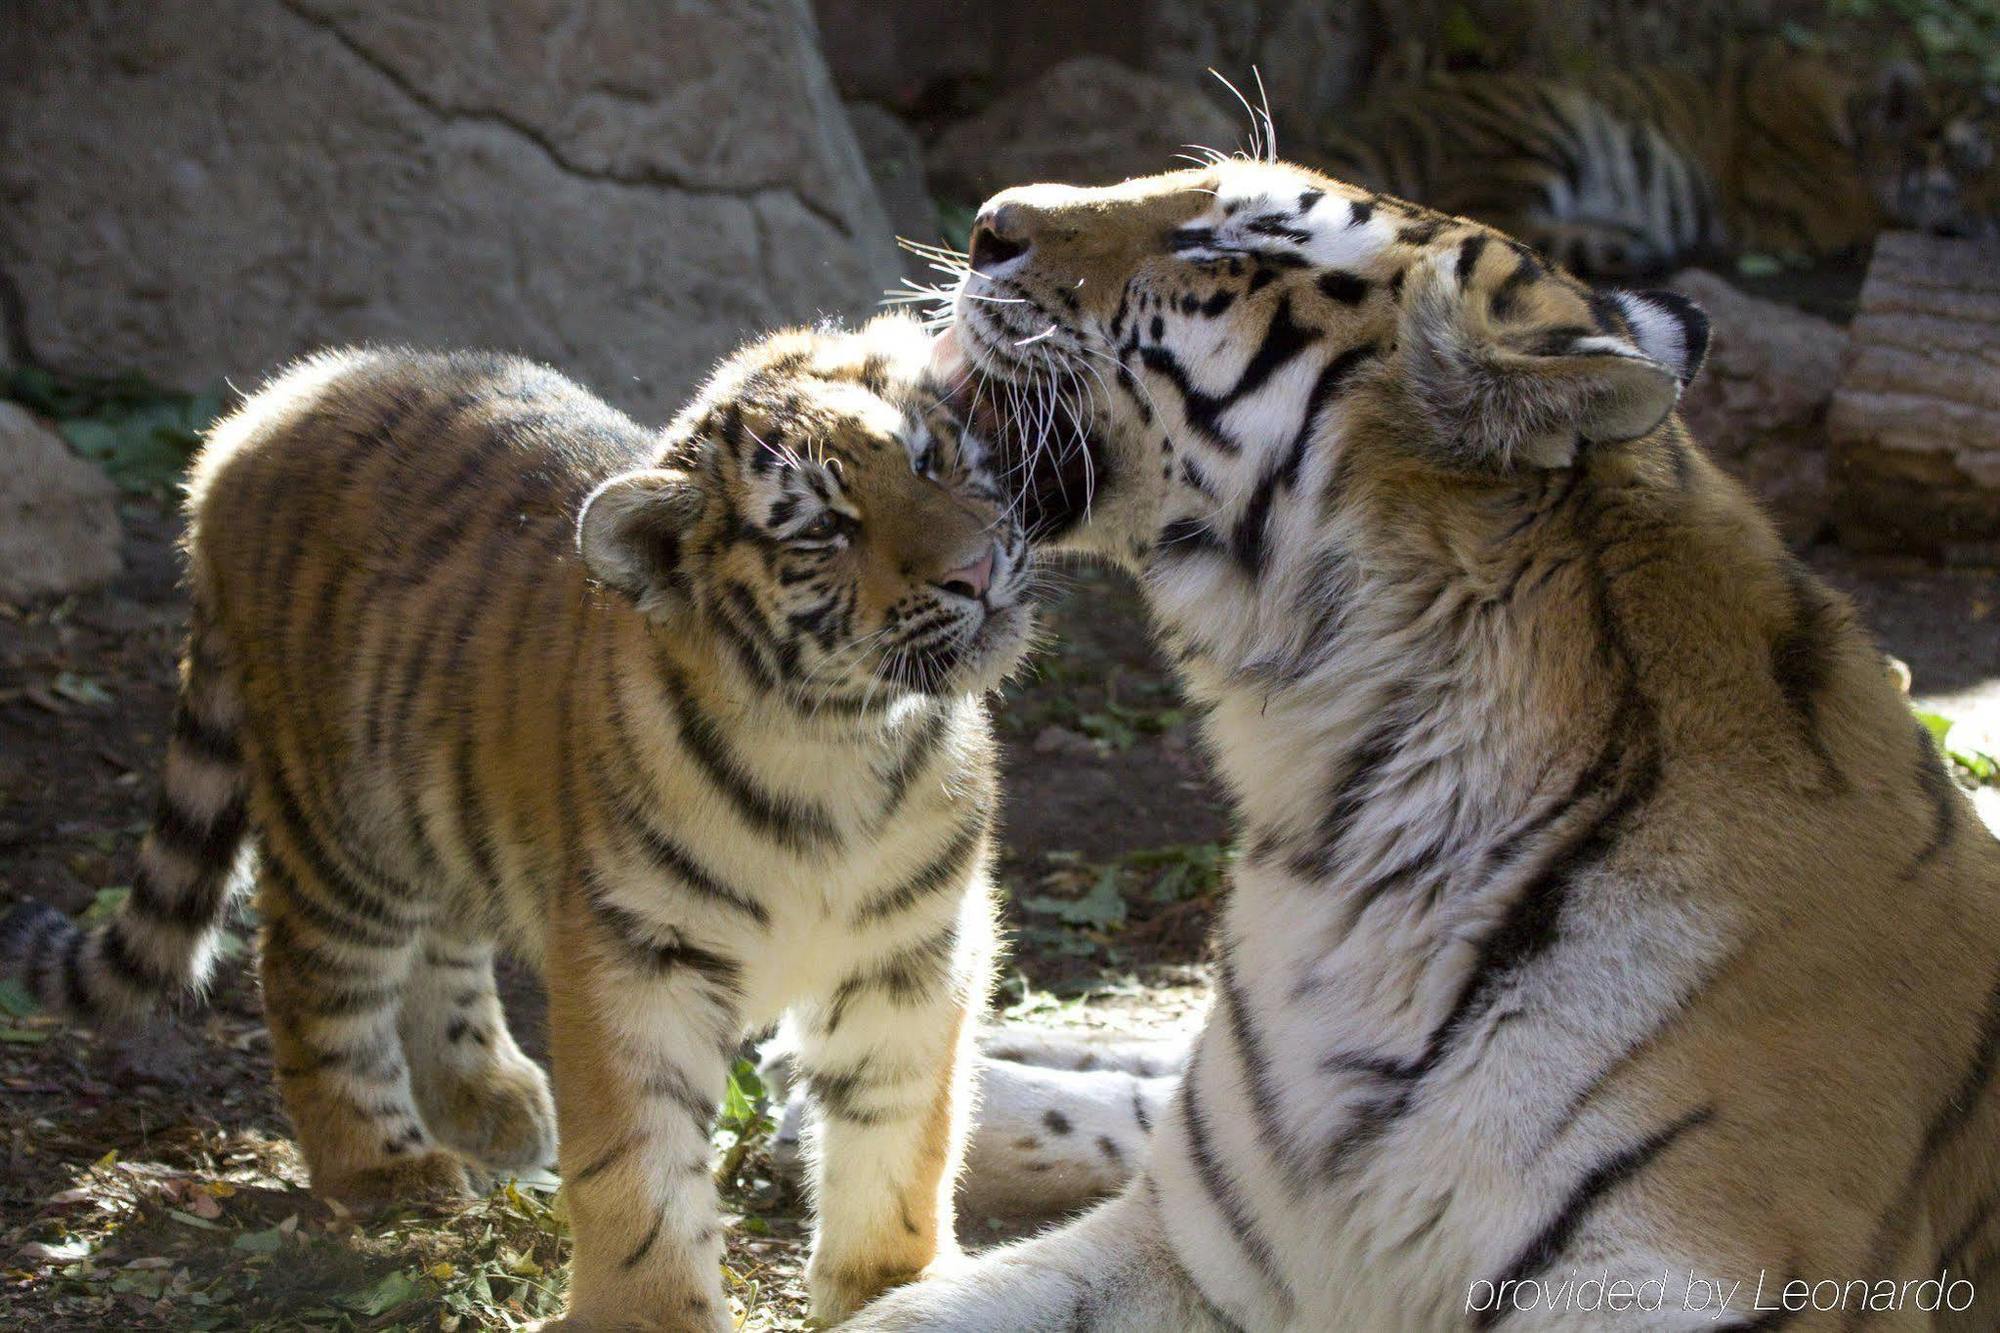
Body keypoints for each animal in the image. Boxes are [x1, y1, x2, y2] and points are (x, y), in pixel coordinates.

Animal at [0, 314, 1032, 1328]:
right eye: (822, 527)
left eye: (930, 460)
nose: (978, 568)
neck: (838, 745)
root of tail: (264, 409)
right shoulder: (639, 958)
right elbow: (639, 1160)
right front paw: (649, 1314)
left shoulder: (912, 950)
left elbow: (901, 1123)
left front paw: (892, 1284)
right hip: (340, 829)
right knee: (312, 983)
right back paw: (384, 1169)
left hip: (440, 807)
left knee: (442, 945)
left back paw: (483, 1098)